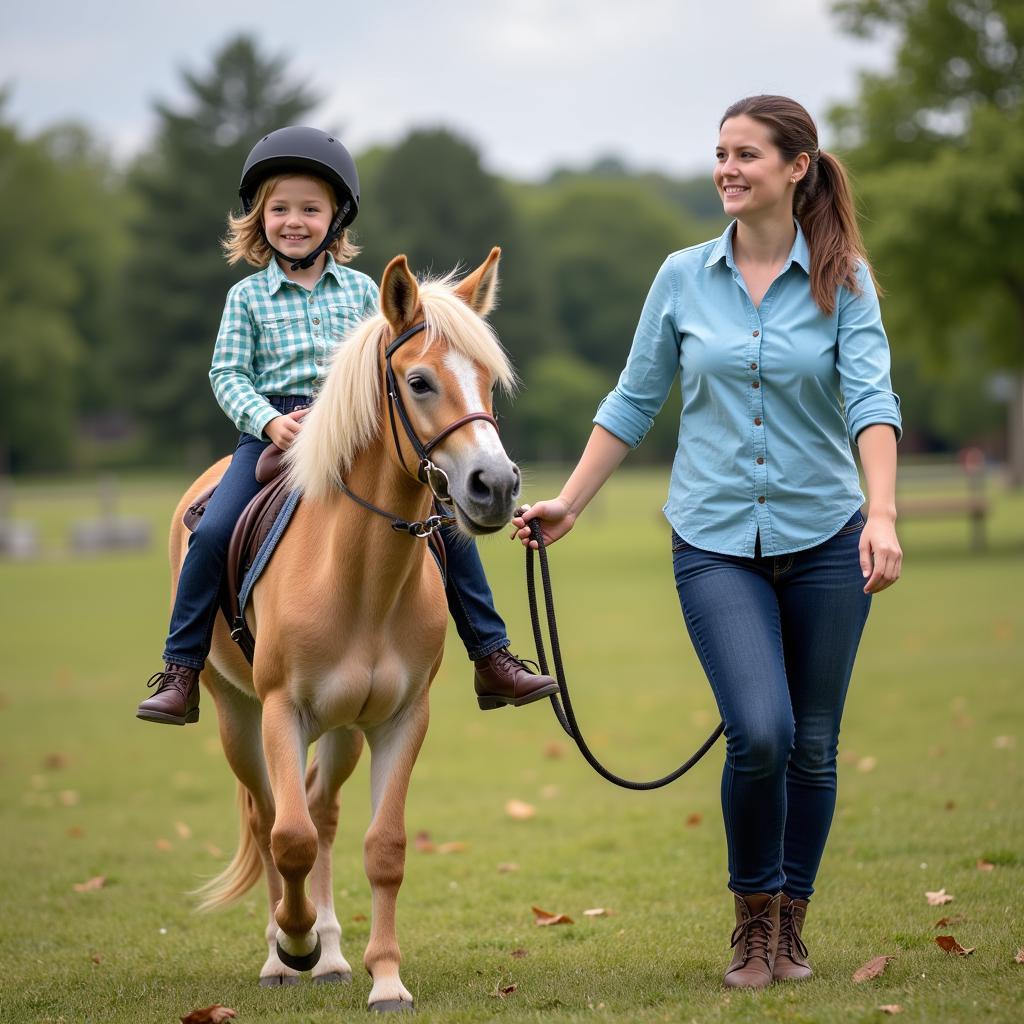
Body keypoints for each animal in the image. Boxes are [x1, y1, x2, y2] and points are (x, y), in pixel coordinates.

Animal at [169, 247, 520, 1007]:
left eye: (486, 380)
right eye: (418, 381)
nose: (497, 486)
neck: (359, 583)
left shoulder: (398, 718)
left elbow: (382, 847)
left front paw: (383, 977)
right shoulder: (281, 711)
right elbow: (289, 837)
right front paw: (292, 942)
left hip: (343, 729)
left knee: (321, 811)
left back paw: (328, 951)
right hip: (236, 714)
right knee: (270, 817)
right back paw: (284, 955)